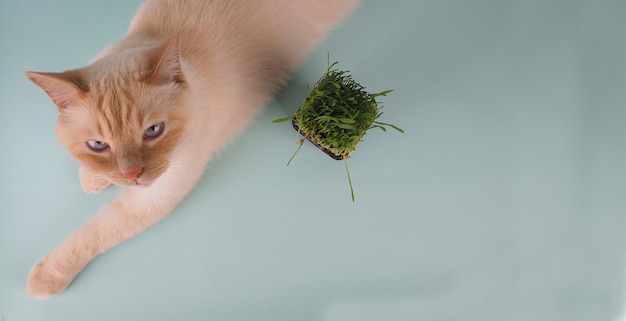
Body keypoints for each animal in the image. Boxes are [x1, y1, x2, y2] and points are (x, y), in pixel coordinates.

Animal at [24, 0, 358, 298]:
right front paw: (93, 179)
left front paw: (45, 277)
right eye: (98, 145)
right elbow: (94, 178)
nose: (133, 175)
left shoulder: (159, 192)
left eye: (153, 131)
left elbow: (94, 232)